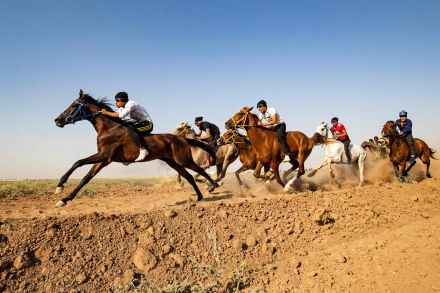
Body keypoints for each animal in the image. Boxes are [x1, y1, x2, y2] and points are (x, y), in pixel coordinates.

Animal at [54, 89, 219, 205]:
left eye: (74, 105)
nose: (57, 120)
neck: (108, 128)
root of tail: (182, 138)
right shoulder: (103, 160)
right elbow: (85, 177)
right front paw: (64, 198)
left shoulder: (105, 156)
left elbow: (78, 162)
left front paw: (60, 186)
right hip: (173, 162)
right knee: (189, 176)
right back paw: (199, 196)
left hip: (183, 160)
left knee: (199, 171)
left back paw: (214, 185)